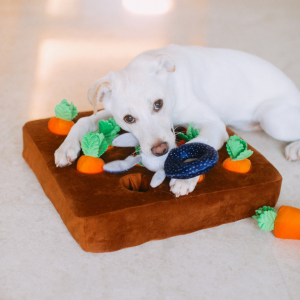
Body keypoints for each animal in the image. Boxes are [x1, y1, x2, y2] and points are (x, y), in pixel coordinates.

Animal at [54, 44, 300, 197]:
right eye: (129, 118)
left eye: (158, 104)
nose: (160, 151)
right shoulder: (110, 116)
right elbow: (84, 121)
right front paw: (66, 148)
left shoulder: (214, 124)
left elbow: (196, 143)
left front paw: (185, 178)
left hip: (272, 119)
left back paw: (294, 148)